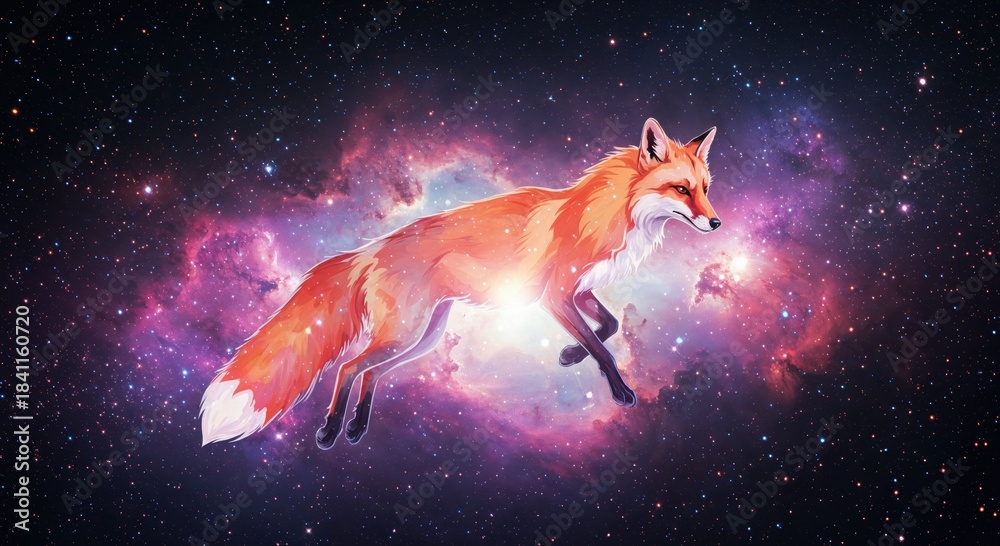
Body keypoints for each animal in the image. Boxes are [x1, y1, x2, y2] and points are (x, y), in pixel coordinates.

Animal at [200, 118, 722, 450]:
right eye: (680, 189)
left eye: (705, 188)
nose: (717, 223)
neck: (605, 212)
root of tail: (372, 248)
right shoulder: (555, 296)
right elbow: (605, 347)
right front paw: (618, 391)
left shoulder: (580, 291)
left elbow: (609, 326)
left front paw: (570, 355)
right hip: (406, 333)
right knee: (348, 366)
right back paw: (329, 432)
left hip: (423, 337)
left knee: (370, 372)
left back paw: (357, 428)